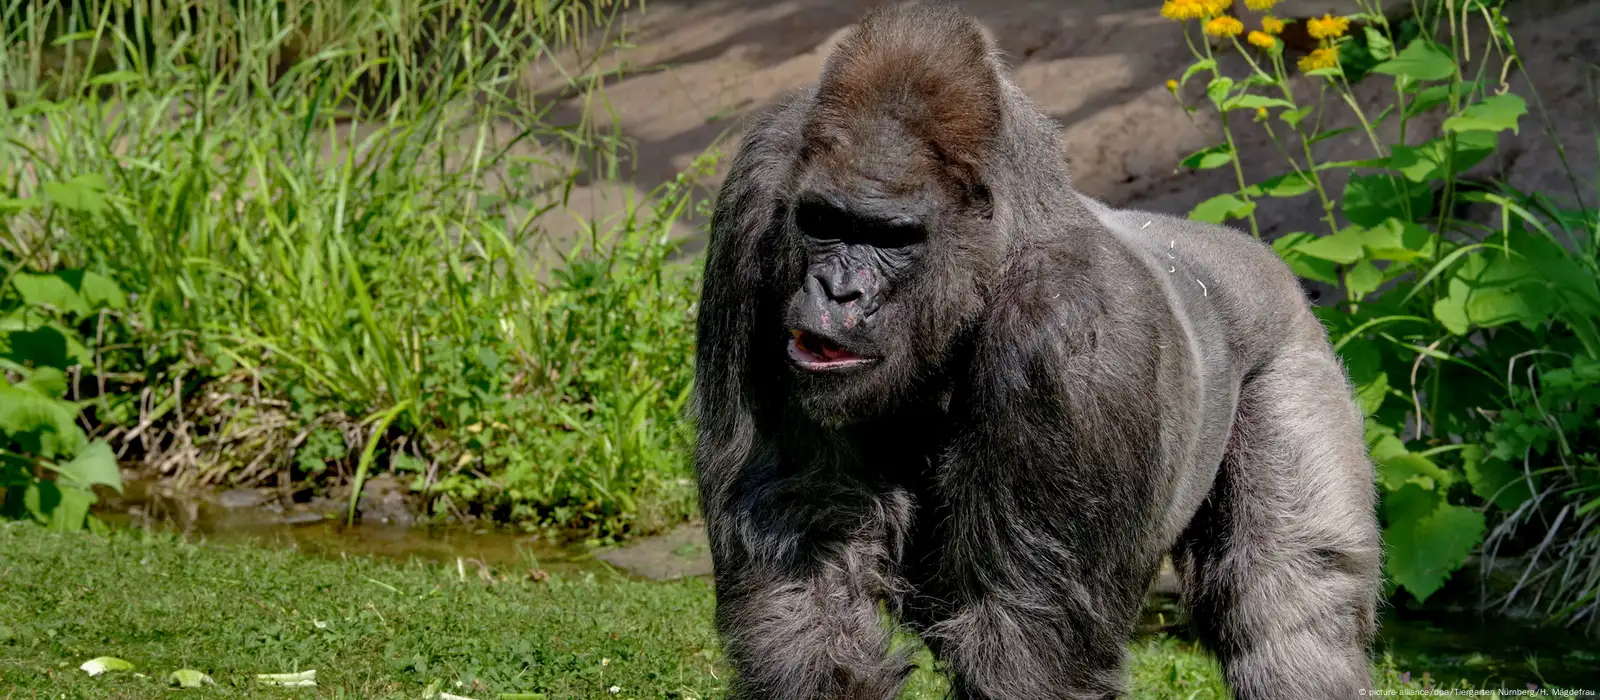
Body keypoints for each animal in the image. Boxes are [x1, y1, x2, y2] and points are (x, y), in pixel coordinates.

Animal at [691, 2, 1388, 696]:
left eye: (892, 237)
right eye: (823, 222)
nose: (838, 291)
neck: (992, 247)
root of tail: (1252, 253)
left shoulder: (1069, 327)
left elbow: (1030, 645)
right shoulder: (758, 194)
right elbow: (801, 525)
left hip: (1292, 348)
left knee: (1289, 601)